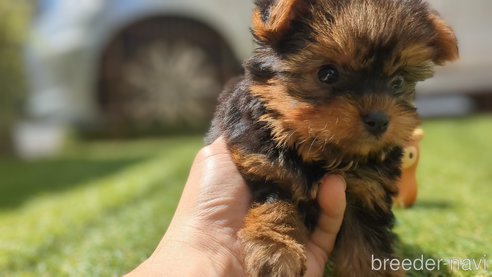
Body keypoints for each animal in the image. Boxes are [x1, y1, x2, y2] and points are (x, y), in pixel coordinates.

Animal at [205, 0, 458, 274]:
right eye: (327, 74)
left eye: (398, 81)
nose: (379, 120)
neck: (321, 155)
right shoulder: (265, 166)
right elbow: (275, 205)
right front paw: (276, 251)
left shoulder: (366, 194)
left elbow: (366, 248)